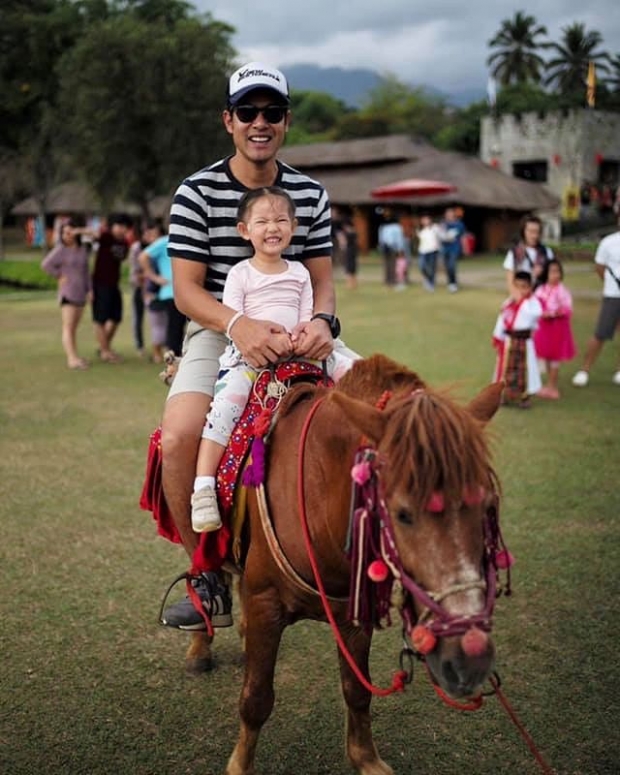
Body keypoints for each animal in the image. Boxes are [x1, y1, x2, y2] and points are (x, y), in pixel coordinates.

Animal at [195, 356, 508, 775]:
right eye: (402, 513)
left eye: (487, 506)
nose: (469, 658)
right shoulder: (265, 601)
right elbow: (257, 698)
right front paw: (239, 765)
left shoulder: (354, 611)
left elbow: (357, 689)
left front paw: (366, 758)